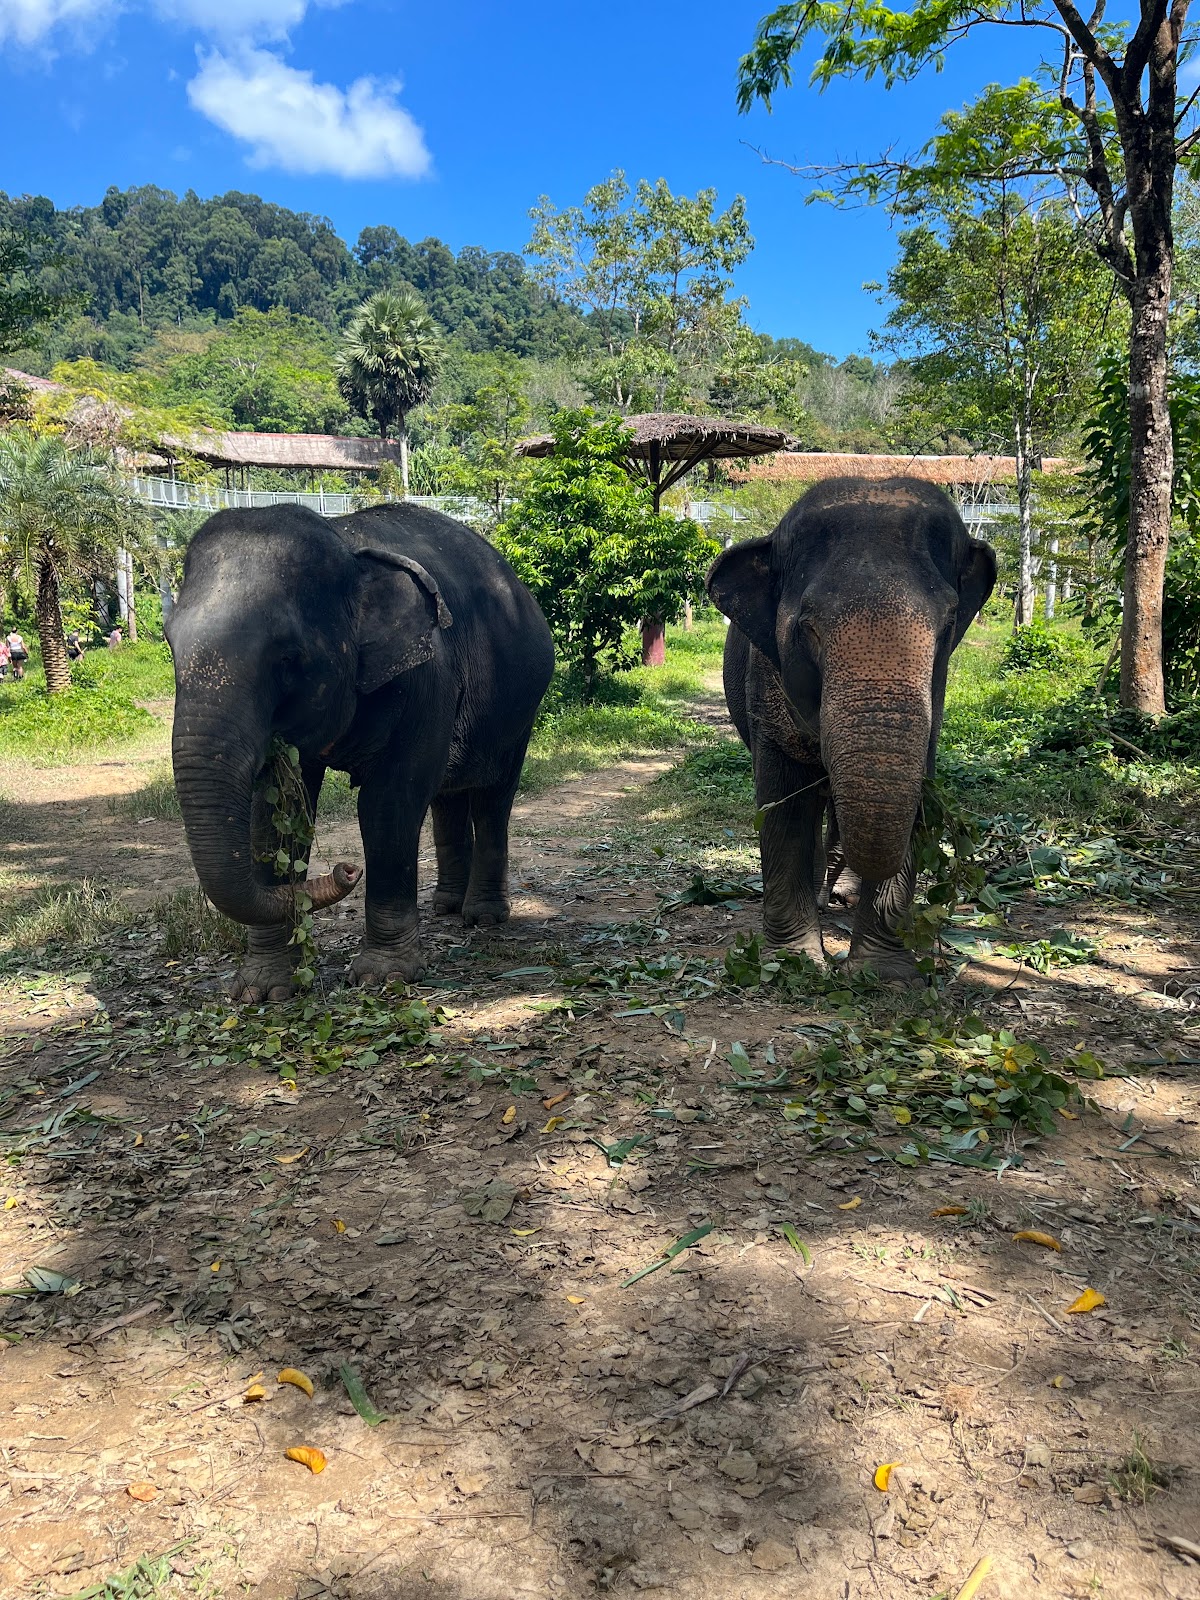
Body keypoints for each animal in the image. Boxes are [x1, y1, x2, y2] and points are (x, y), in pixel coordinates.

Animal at [167, 502, 556, 998]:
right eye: (170, 644)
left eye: (288, 657)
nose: (347, 870)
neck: (345, 544)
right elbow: (273, 814)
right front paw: (262, 989)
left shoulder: (428, 676)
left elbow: (389, 803)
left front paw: (383, 977)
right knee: (447, 795)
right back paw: (445, 907)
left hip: (520, 711)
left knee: (492, 798)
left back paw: (483, 917)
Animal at [710, 473, 998, 979]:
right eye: (807, 627)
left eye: (948, 624)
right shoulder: (765, 688)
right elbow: (784, 803)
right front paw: (795, 963)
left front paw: (881, 974)